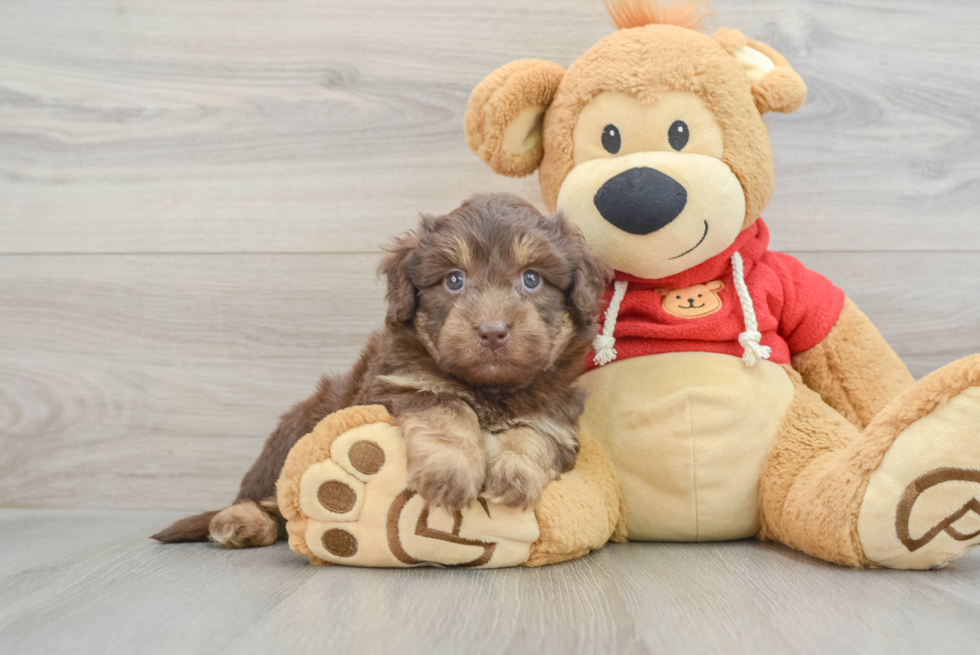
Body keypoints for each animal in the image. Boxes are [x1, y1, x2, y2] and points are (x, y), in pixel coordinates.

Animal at [153, 193, 608, 548]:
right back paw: (240, 521)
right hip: (298, 428)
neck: (489, 388)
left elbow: (534, 431)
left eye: (531, 279)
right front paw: (451, 470)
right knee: (274, 499)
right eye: (454, 280)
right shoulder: (401, 385)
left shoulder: (557, 412)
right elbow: (447, 407)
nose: (492, 331)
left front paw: (515, 473)